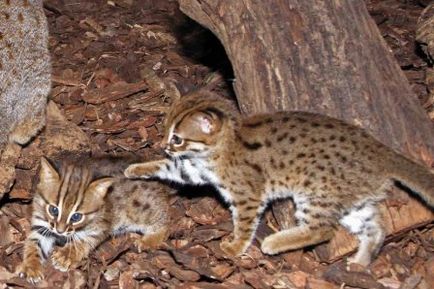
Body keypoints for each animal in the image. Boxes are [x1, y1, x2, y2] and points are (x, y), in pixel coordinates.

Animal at [18, 154, 172, 282]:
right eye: (53, 210)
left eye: (76, 217)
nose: (60, 231)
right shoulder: (41, 225)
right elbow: (33, 244)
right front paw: (31, 266)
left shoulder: (100, 227)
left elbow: (81, 241)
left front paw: (66, 255)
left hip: (142, 211)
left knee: (166, 223)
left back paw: (147, 240)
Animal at [124, 89, 434, 266]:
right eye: (165, 130)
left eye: (177, 138)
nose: (163, 144)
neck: (220, 147)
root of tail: (380, 151)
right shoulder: (194, 171)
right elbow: (169, 168)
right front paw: (136, 168)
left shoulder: (248, 197)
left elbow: (244, 225)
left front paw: (235, 247)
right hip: (353, 204)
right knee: (376, 229)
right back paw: (360, 262)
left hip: (315, 193)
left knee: (322, 230)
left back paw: (273, 243)